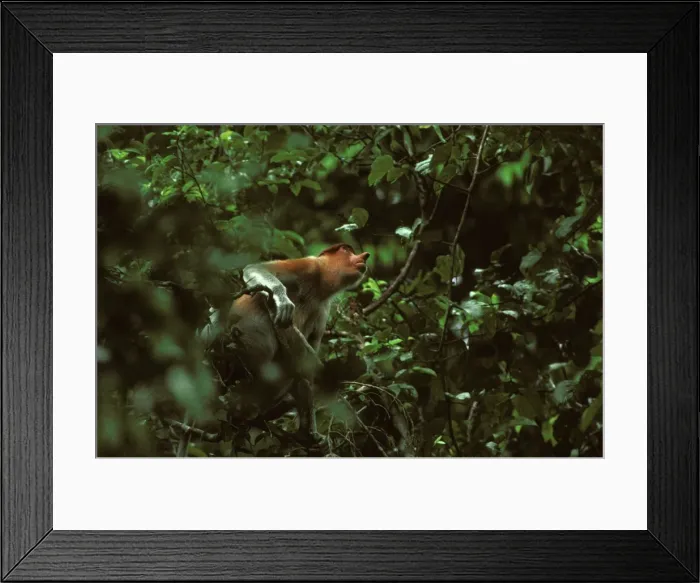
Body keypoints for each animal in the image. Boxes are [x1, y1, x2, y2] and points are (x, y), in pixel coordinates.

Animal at [221, 243, 370, 442]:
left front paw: (311, 432)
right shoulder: (308, 266)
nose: (364, 256)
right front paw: (282, 299)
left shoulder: (323, 308)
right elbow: (257, 268)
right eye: (347, 250)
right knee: (264, 309)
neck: (320, 284)